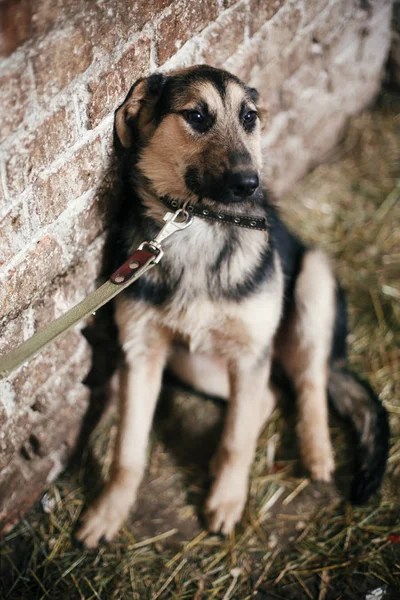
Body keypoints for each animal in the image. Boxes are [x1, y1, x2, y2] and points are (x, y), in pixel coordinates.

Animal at [75, 65, 388, 548]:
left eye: (249, 117)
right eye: (196, 116)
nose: (250, 184)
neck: (196, 227)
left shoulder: (250, 352)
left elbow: (239, 439)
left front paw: (227, 499)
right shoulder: (141, 355)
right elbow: (127, 450)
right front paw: (109, 510)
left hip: (313, 284)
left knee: (309, 382)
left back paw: (316, 452)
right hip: (195, 364)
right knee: (270, 396)